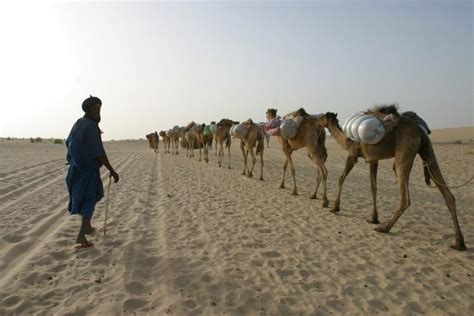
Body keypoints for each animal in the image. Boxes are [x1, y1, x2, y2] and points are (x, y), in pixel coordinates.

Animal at [322, 107, 466, 251]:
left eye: (323, 117)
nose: (319, 120)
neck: (346, 140)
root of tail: (420, 131)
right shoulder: (373, 159)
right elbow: (373, 187)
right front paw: (374, 218)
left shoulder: (352, 155)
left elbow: (341, 178)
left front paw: (335, 207)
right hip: (427, 151)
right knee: (448, 195)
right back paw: (459, 243)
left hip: (404, 153)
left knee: (405, 197)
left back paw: (385, 228)